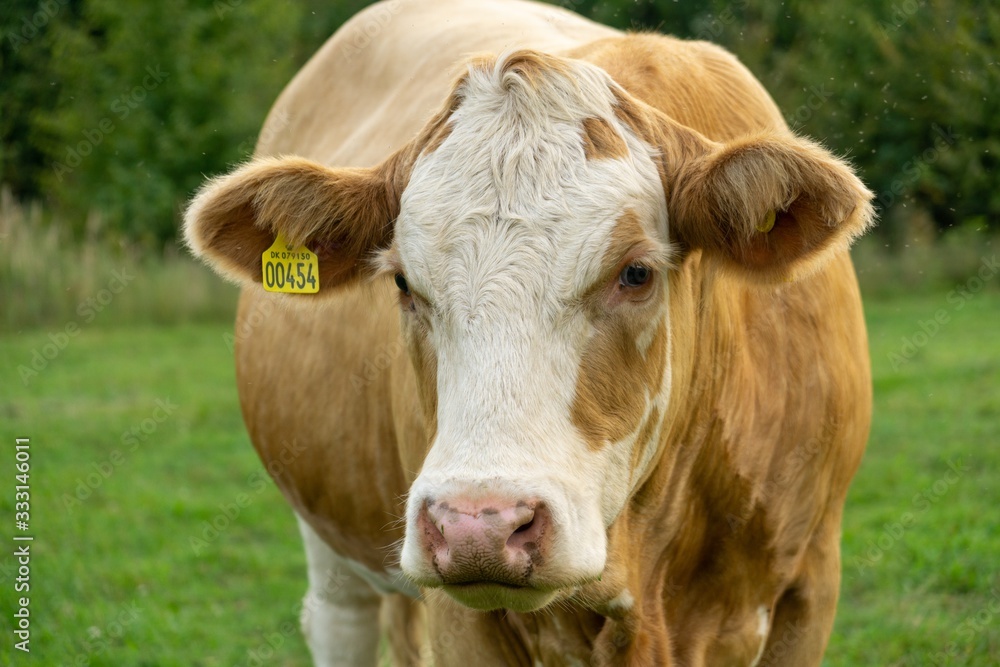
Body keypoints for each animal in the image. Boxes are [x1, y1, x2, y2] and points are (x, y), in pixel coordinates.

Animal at [184, 0, 872, 664]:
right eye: (403, 281)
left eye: (636, 272)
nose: (478, 527)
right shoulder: (460, 619)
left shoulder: (811, 586)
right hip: (331, 549)